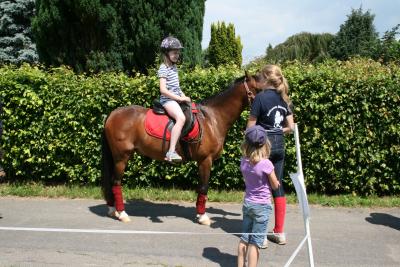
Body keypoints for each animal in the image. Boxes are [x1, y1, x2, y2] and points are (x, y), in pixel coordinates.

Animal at [101, 72, 260, 225]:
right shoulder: (205, 160)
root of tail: (112, 114)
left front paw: (199, 214)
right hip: (122, 157)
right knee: (116, 182)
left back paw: (113, 209)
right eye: (258, 89)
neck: (212, 119)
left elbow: (200, 188)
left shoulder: (202, 161)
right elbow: (204, 187)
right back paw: (122, 214)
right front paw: (203, 217)